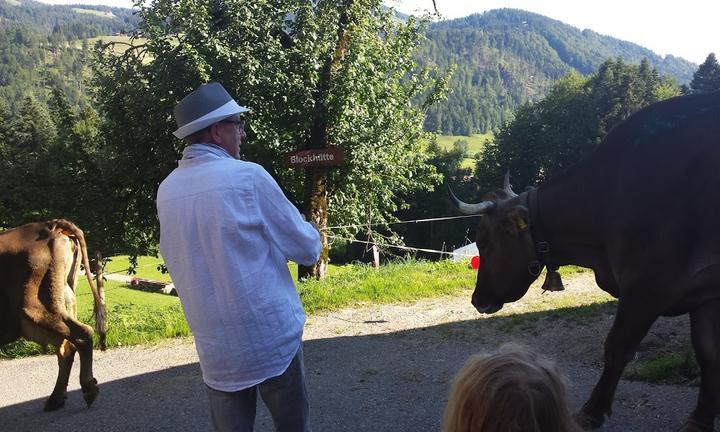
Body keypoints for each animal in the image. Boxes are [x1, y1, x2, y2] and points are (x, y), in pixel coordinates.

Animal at [0, 221, 107, 410]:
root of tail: (48, 225)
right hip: (62, 299)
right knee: (66, 348)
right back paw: (56, 399)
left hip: (36, 307)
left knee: (82, 334)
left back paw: (88, 390)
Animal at [450, 89, 720, 430]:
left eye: (484, 243)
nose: (477, 300)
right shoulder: (705, 291)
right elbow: (708, 353)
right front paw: (700, 420)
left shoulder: (648, 284)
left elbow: (617, 345)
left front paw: (593, 409)